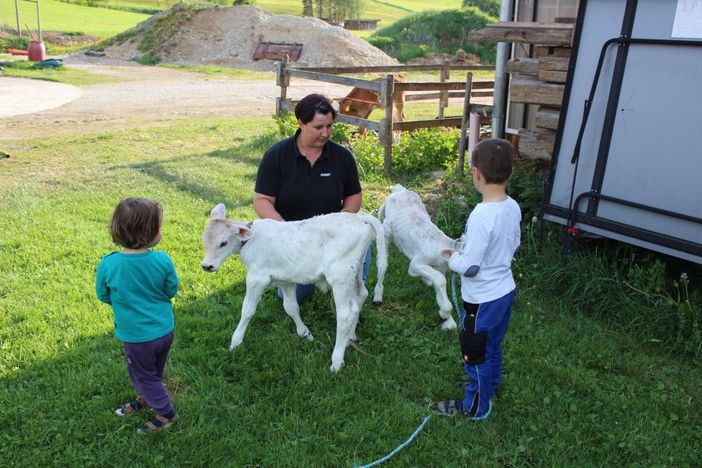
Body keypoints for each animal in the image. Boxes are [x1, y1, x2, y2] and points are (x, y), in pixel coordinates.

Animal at [202, 205, 390, 372]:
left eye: (223, 242)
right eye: (204, 240)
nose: (206, 266)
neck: (250, 240)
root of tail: (358, 217)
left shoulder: (256, 278)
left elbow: (247, 310)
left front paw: (235, 342)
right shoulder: (285, 279)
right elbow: (291, 307)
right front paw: (304, 333)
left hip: (340, 276)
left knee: (346, 313)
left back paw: (337, 361)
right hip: (355, 271)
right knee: (361, 296)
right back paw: (350, 336)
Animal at [380, 184, 462, 330]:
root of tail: (400, 189)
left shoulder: (438, 268)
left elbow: (439, 286)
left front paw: (447, 319)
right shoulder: (416, 264)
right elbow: (441, 280)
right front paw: (446, 315)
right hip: (387, 228)